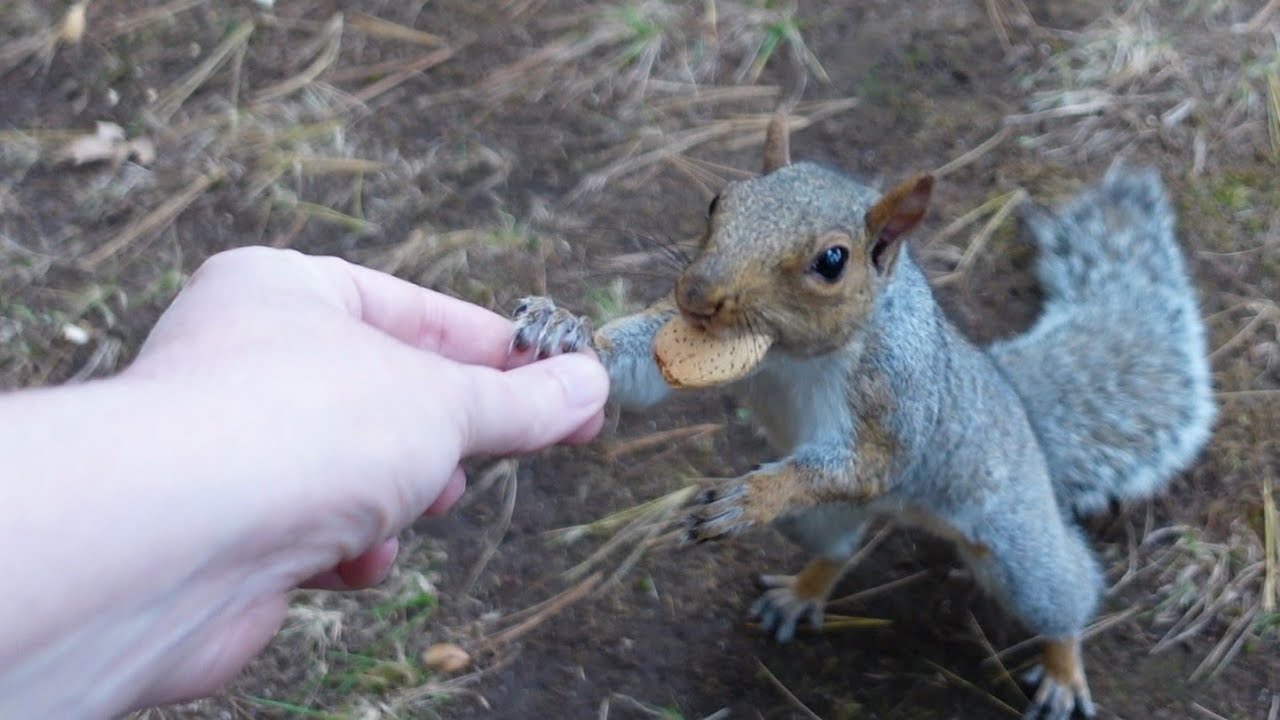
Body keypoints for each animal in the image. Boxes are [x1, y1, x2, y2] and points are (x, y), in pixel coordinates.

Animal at [509, 114, 1216, 720]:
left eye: (832, 261)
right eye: (718, 203)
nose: (696, 296)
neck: (793, 354)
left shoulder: (896, 397)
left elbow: (871, 459)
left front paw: (754, 496)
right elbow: (642, 373)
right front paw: (566, 327)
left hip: (1020, 547)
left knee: (1065, 592)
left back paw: (1065, 669)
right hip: (819, 520)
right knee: (838, 549)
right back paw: (802, 592)